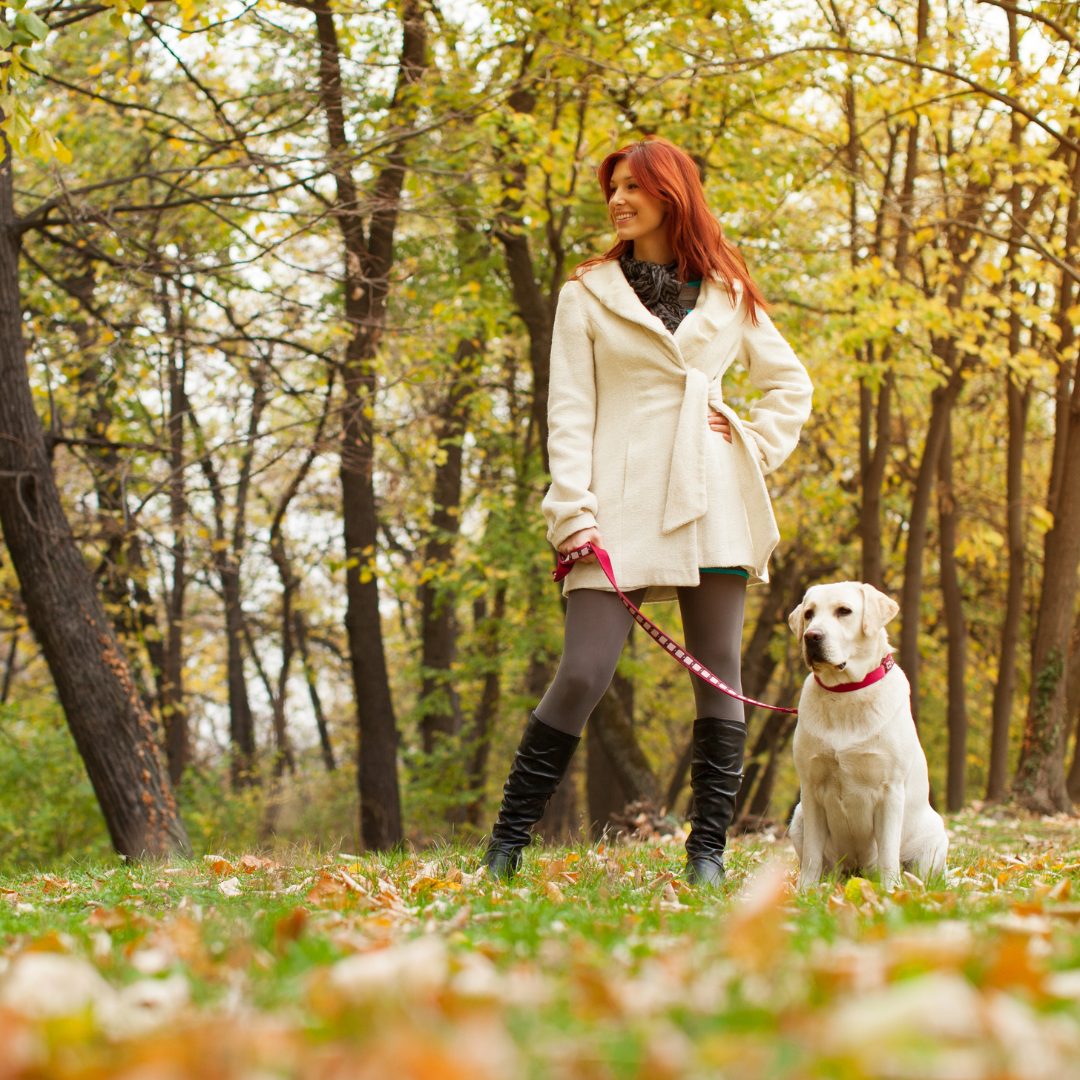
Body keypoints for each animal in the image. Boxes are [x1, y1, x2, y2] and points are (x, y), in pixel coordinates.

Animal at [786, 587, 946, 889]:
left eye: (844, 611)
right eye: (809, 613)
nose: (811, 636)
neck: (845, 693)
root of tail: (856, 871)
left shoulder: (890, 790)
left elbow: (888, 854)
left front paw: (890, 891)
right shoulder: (810, 789)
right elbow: (812, 855)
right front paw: (805, 892)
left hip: (934, 836)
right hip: (799, 817)